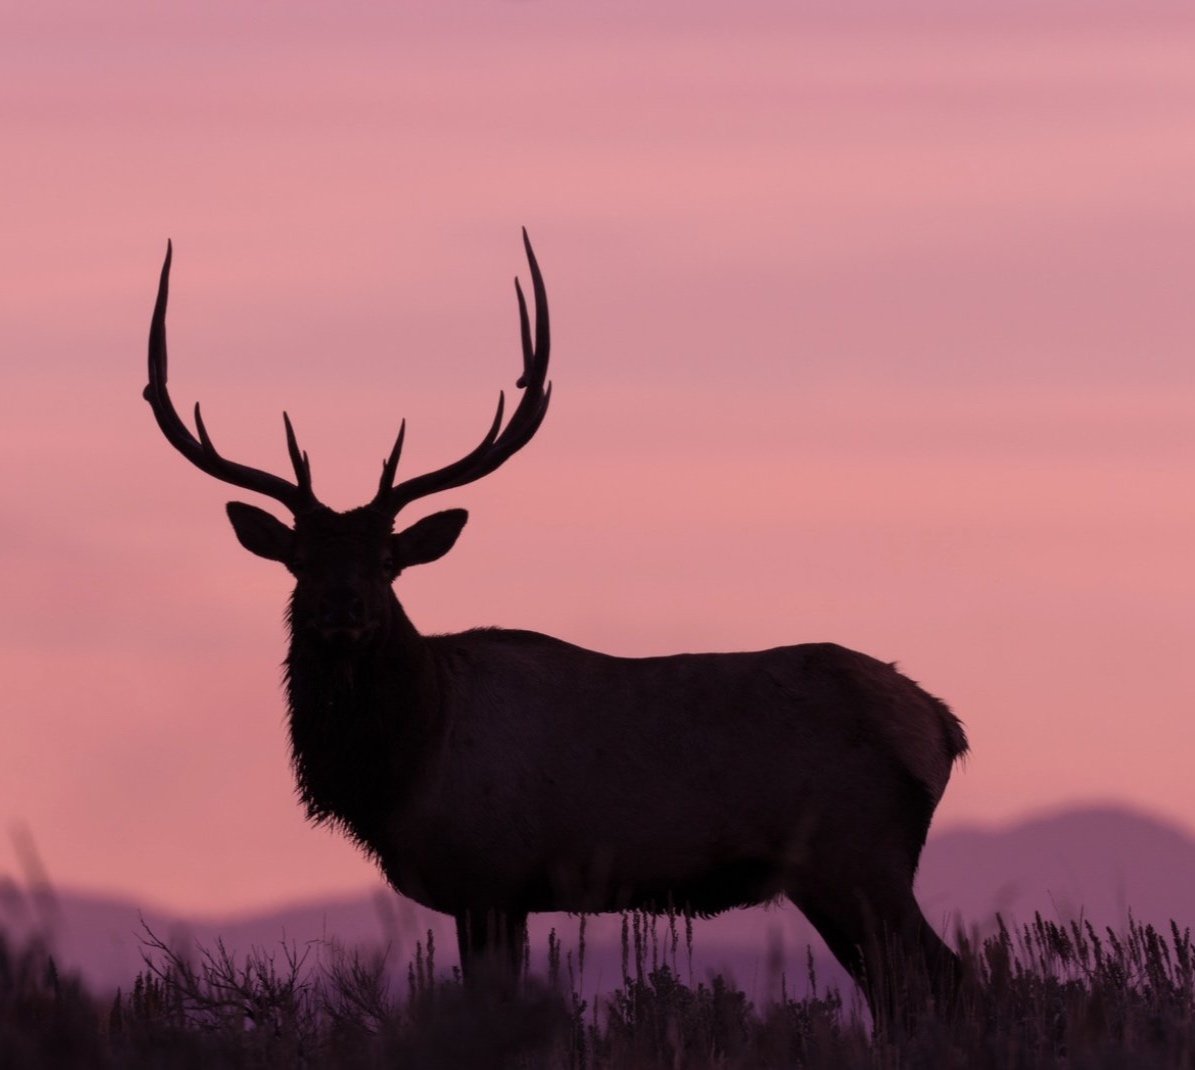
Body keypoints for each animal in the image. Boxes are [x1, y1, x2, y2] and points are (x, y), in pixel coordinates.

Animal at [146, 234, 970, 1023]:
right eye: (300, 561)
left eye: (386, 562)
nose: (341, 611)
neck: (409, 756)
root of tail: (942, 725)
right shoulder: (495, 892)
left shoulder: (489, 873)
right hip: (837, 871)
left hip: (857, 854)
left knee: (944, 979)